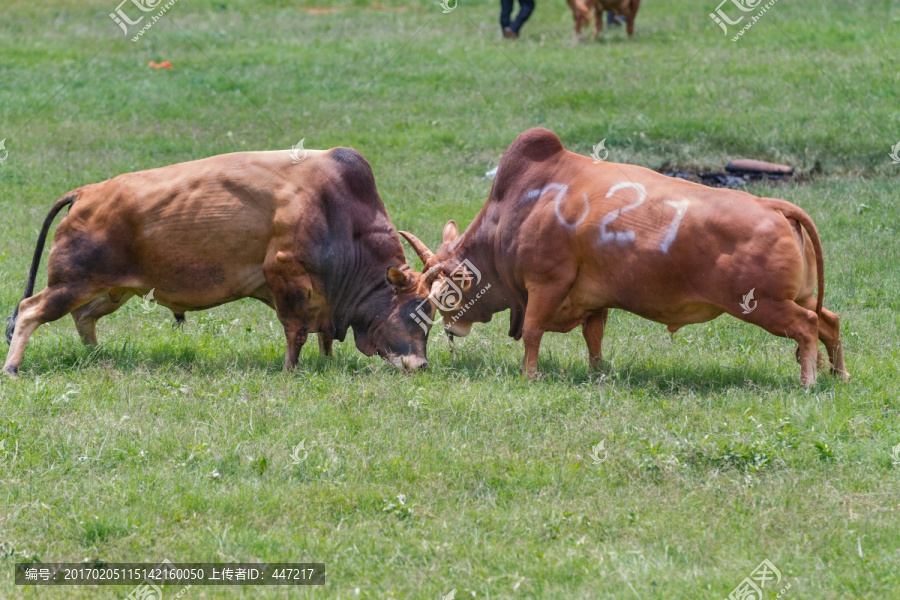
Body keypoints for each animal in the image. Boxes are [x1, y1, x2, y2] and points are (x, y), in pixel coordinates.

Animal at [2, 146, 432, 376]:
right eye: (413, 312)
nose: (423, 365)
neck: (338, 211)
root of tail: (87, 192)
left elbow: (323, 336)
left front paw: (325, 362)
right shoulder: (286, 280)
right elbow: (295, 332)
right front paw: (291, 370)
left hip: (112, 290)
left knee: (84, 317)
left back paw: (97, 356)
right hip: (70, 284)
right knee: (30, 310)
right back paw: (12, 367)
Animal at [402, 129, 852, 386]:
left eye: (442, 297)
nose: (450, 332)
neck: (517, 208)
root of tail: (774, 205)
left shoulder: (545, 284)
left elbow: (531, 333)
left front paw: (529, 377)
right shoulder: (593, 299)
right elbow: (594, 338)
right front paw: (597, 373)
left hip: (764, 305)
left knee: (807, 326)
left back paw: (809, 381)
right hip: (799, 297)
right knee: (829, 321)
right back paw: (839, 374)